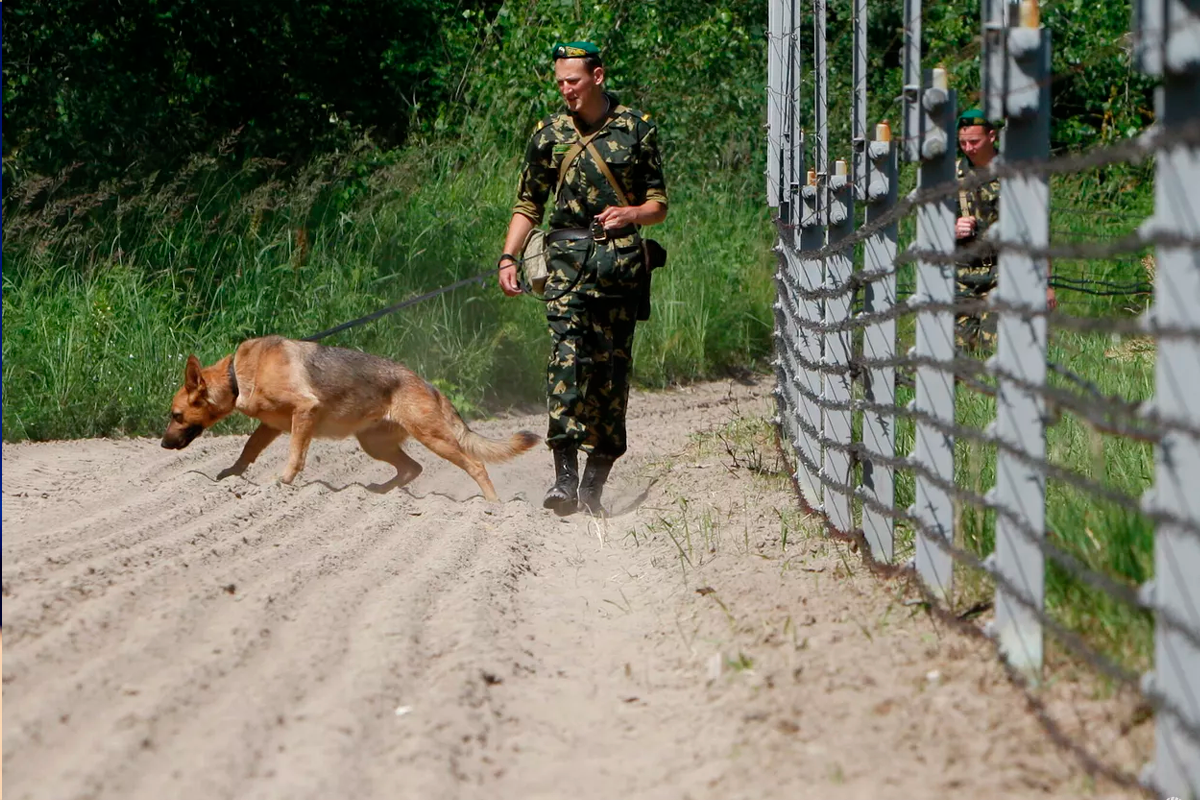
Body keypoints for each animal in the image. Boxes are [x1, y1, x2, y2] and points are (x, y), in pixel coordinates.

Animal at [162, 335, 537, 501]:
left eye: (176, 414)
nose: (163, 444)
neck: (237, 376)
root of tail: (428, 385)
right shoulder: (269, 427)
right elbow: (247, 451)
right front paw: (230, 476)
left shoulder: (304, 412)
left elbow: (296, 455)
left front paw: (283, 481)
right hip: (374, 444)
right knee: (412, 468)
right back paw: (379, 492)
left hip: (434, 439)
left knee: (476, 465)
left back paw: (492, 506)